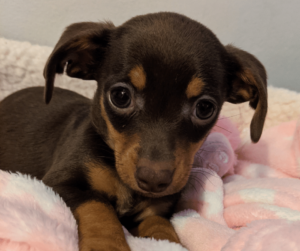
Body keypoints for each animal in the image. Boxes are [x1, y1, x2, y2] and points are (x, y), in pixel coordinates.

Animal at [0, 12, 268, 251]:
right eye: (120, 96)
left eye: (204, 108)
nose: (154, 180)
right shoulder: (60, 184)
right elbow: (98, 207)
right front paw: (107, 247)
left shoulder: (152, 211)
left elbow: (161, 228)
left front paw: (170, 243)